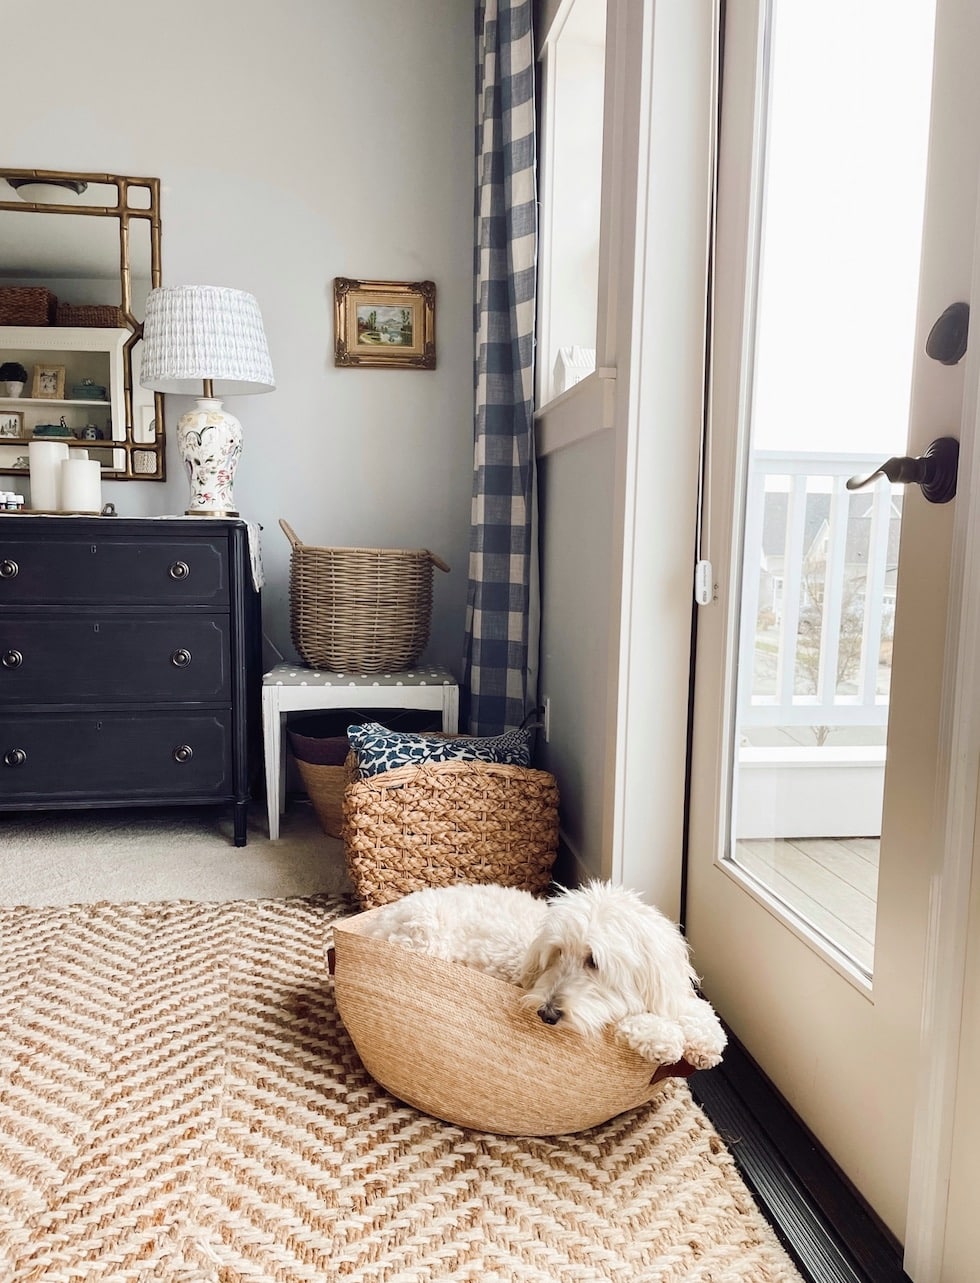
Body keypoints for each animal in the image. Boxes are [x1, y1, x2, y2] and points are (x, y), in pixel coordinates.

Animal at [356, 882, 723, 1072]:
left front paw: (705, 1041)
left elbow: (695, 1009)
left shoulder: (668, 987)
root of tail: (381, 920)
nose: (547, 1014)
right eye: (557, 952)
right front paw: (664, 1038)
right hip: (424, 937)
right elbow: (625, 1020)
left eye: (593, 961)